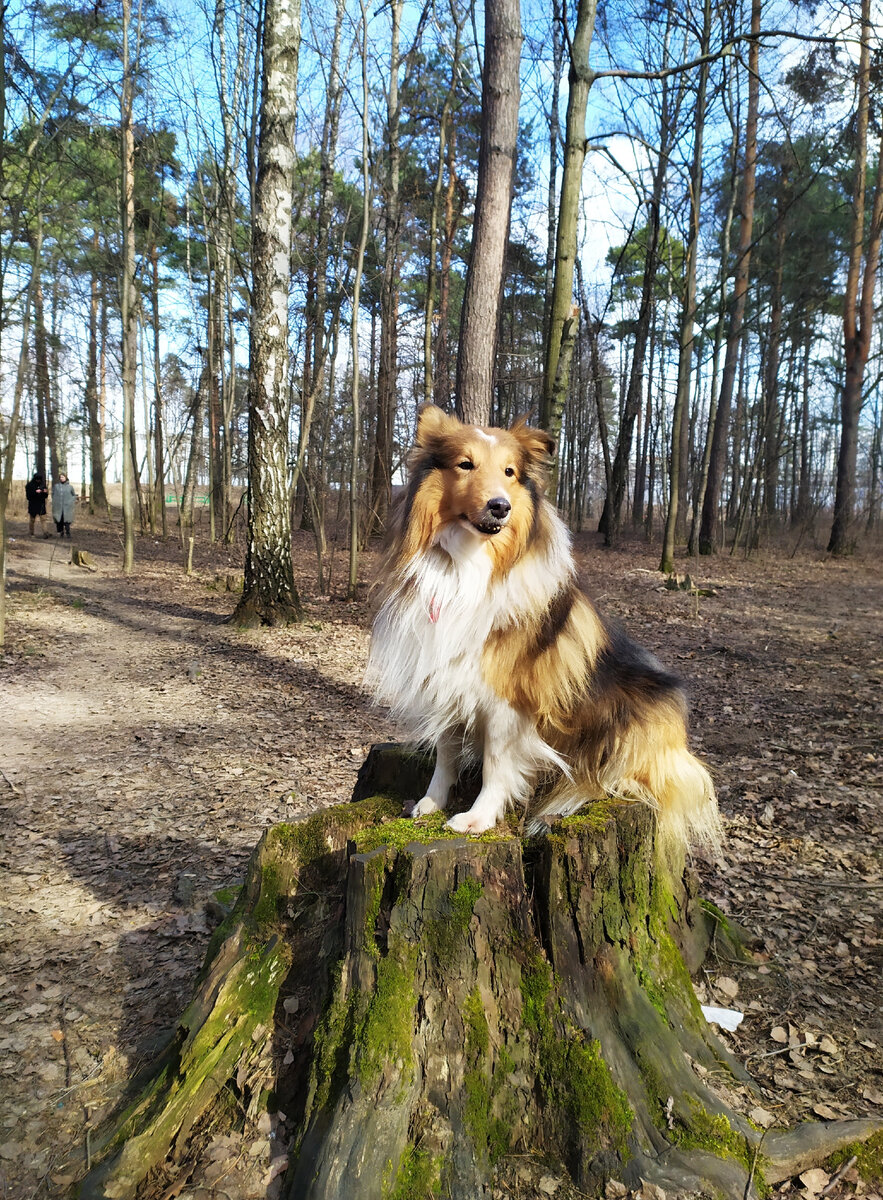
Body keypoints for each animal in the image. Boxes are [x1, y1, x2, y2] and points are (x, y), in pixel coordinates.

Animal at [364, 408, 719, 849]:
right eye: (465, 464)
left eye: (510, 472)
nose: (499, 507)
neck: (468, 566)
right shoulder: (447, 680)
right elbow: (445, 752)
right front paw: (432, 802)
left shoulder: (508, 699)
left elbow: (497, 762)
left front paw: (478, 818)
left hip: (632, 718)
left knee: (622, 778)